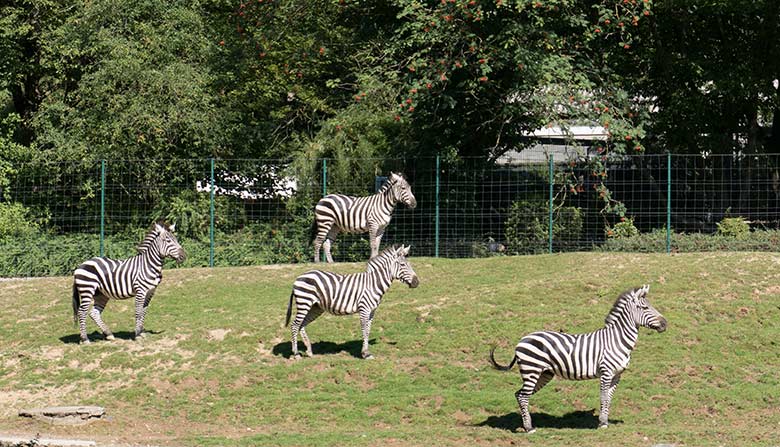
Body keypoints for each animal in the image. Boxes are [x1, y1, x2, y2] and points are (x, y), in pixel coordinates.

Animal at [286, 245, 420, 360]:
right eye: (402, 264)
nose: (416, 283)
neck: (373, 283)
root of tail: (298, 277)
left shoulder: (372, 311)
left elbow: (368, 330)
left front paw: (367, 352)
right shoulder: (364, 309)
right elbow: (364, 330)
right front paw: (365, 354)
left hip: (315, 307)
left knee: (302, 324)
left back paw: (309, 351)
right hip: (304, 302)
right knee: (294, 325)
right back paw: (296, 354)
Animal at [488, 284, 664, 434]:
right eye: (645, 307)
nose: (665, 324)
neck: (616, 340)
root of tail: (522, 339)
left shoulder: (617, 375)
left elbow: (609, 399)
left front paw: (605, 421)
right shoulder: (606, 372)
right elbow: (603, 398)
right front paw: (602, 424)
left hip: (544, 373)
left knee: (519, 394)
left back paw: (526, 425)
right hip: (531, 370)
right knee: (523, 396)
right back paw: (529, 428)